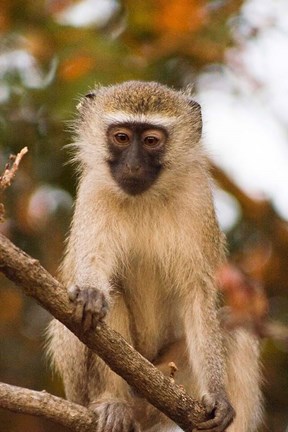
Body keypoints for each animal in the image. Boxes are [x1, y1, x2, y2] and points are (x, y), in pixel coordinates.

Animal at [47, 82, 264, 432]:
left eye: (151, 141)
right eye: (122, 137)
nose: (133, 166)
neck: (144, 198)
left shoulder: (198, 196)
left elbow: (197, 295)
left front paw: (218, 396)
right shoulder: (94, 190)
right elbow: (92, 265)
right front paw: (91, 293)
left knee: (235, 326)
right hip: (83, 387)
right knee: (112, 297)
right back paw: (114, 403)